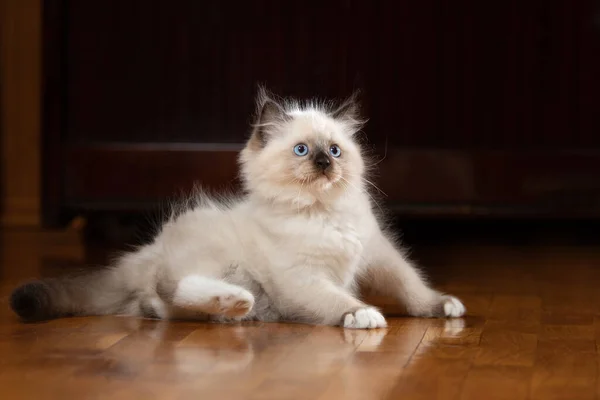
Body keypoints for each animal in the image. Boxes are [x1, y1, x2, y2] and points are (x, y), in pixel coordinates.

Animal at [11, 87, 466, 328]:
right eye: (302, 150)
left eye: (335, 150)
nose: (324, 164)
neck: (322, 214)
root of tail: (146, 252)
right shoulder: (302, 279)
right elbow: (338, 300)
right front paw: (364, 315)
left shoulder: (379, 255)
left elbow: (413, 287)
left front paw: (444, 307)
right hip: (217, 261)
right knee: (170, 291)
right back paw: (236, 301)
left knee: (162, 306)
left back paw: (232, 305)